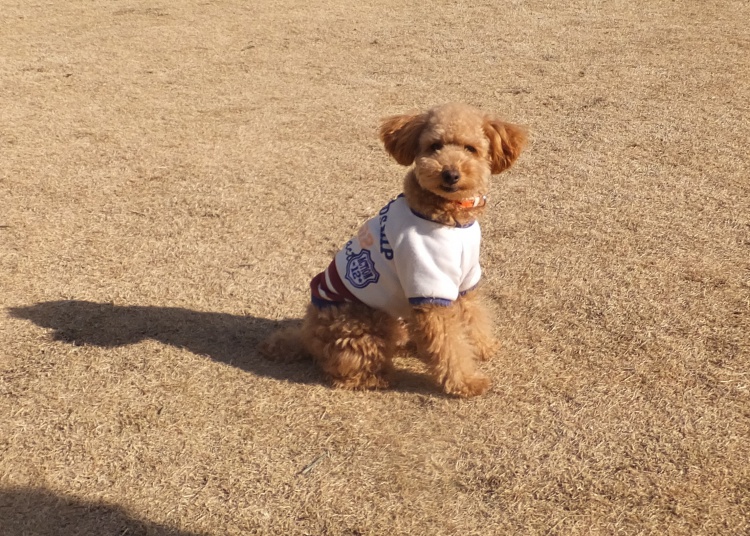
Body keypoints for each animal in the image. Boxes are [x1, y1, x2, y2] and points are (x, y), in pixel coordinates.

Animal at [261, 103, 527, 397]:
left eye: (470, 149)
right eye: (434, 146)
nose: (450, 174)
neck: (448, 218)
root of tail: (307, 332)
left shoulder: (465, 279)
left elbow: (473, 317)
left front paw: (483, 347)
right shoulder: (430, 285)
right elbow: (449, 344)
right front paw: (466, 382)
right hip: (364, 321)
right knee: (343, 368)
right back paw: (376, 377)